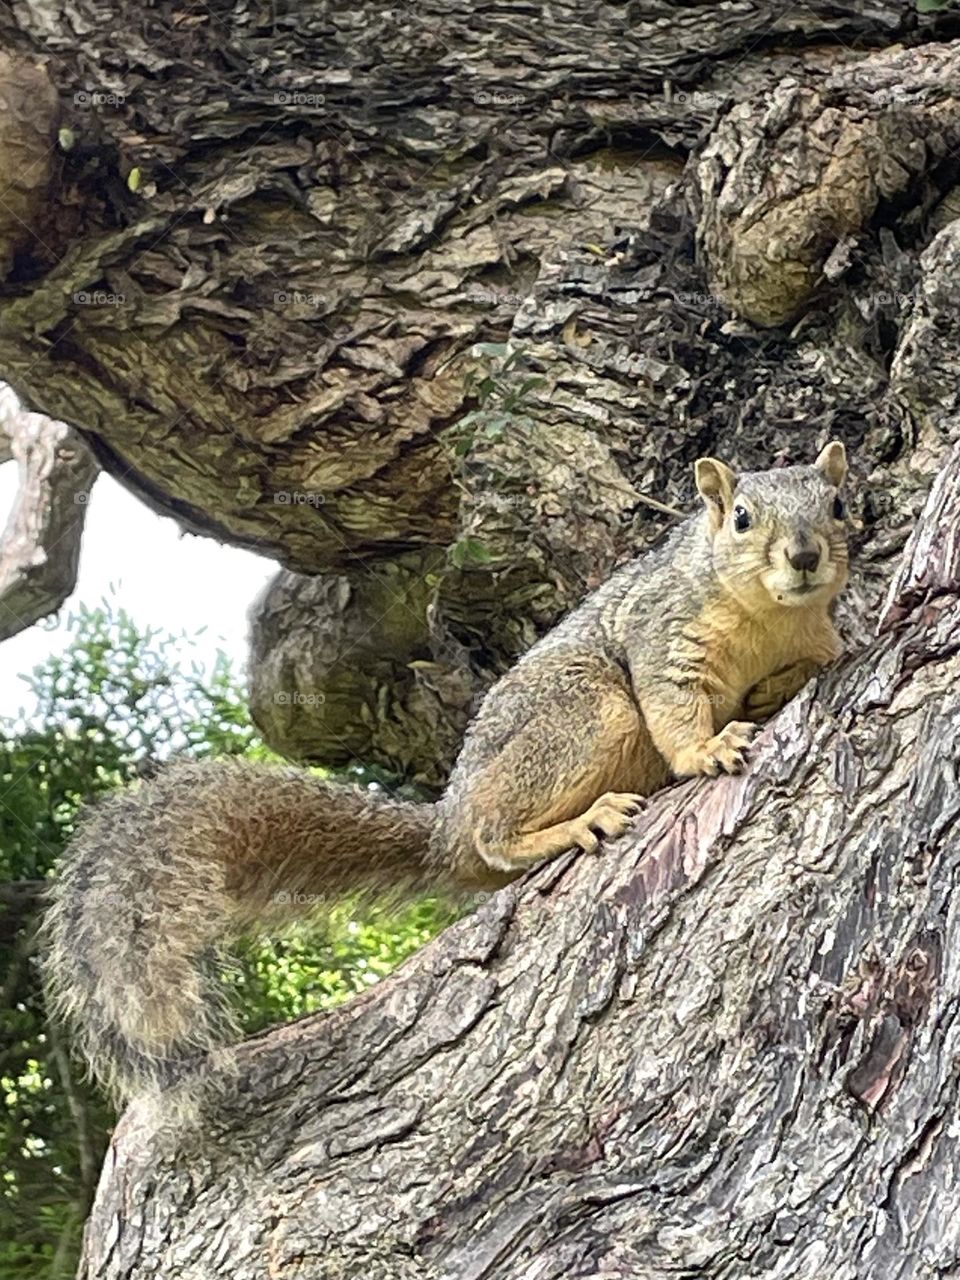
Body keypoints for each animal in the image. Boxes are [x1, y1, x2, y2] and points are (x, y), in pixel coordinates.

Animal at [41, 441, 850, 1111]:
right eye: (741, 518)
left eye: (839, 504)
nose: (806, 554)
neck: (766, 619)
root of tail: (446, 825)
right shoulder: (664, 638)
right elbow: (675, 712)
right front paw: (708, 751)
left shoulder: (815, 637)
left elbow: (817, 661)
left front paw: (774, 692)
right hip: (586, 713)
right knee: (497, 834)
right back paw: (570, 825)